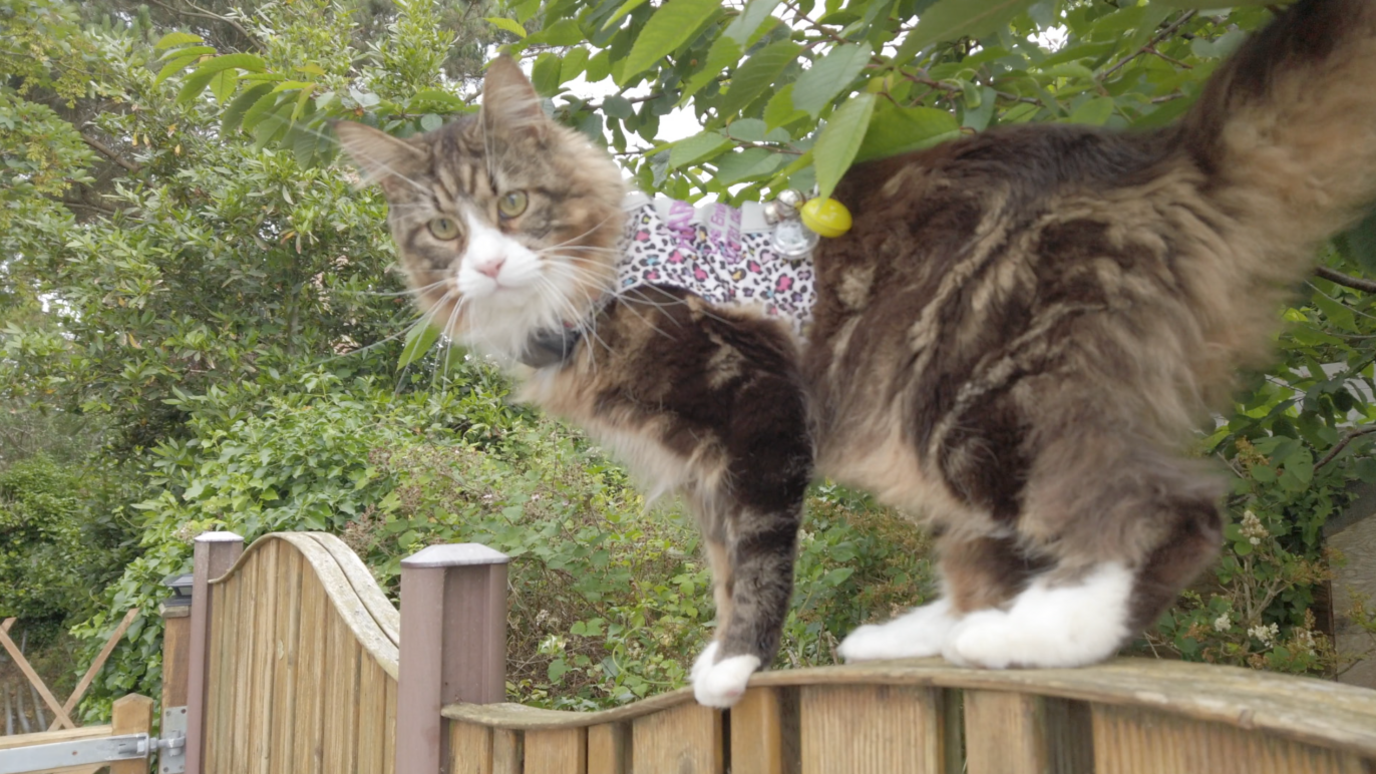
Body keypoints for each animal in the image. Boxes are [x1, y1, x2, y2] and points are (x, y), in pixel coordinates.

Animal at [338, 0, 1376, 705]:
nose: (487, 263)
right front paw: (716, 657)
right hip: (944, 432)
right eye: (441, 230)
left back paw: (1045, 637)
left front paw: (734, 667)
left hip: (976, 400)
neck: (596, 290)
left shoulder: (756, 414)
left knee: (1167, 511)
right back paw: (923, 637)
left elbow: (756, 563)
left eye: (513, 205)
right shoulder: (706, 466)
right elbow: (721, 561)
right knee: (994, 558)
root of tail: (1147, 155)